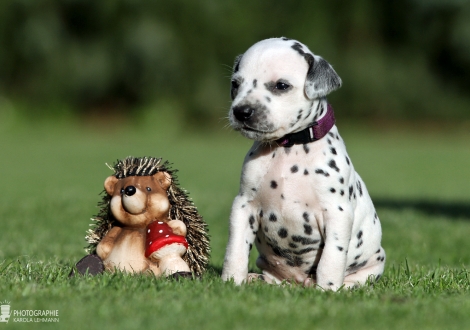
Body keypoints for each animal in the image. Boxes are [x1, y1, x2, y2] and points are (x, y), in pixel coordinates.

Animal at [221, 38, 386, 290]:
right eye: (235, 84)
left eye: (281, 85)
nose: (242, 112)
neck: (289, 147)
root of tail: (297, 284)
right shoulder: (243, 205)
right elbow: (236, 250)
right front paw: (231, 281)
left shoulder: (337, 213)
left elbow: (331, 258)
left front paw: (327, 290)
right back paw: (254, 279)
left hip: (373, 264)